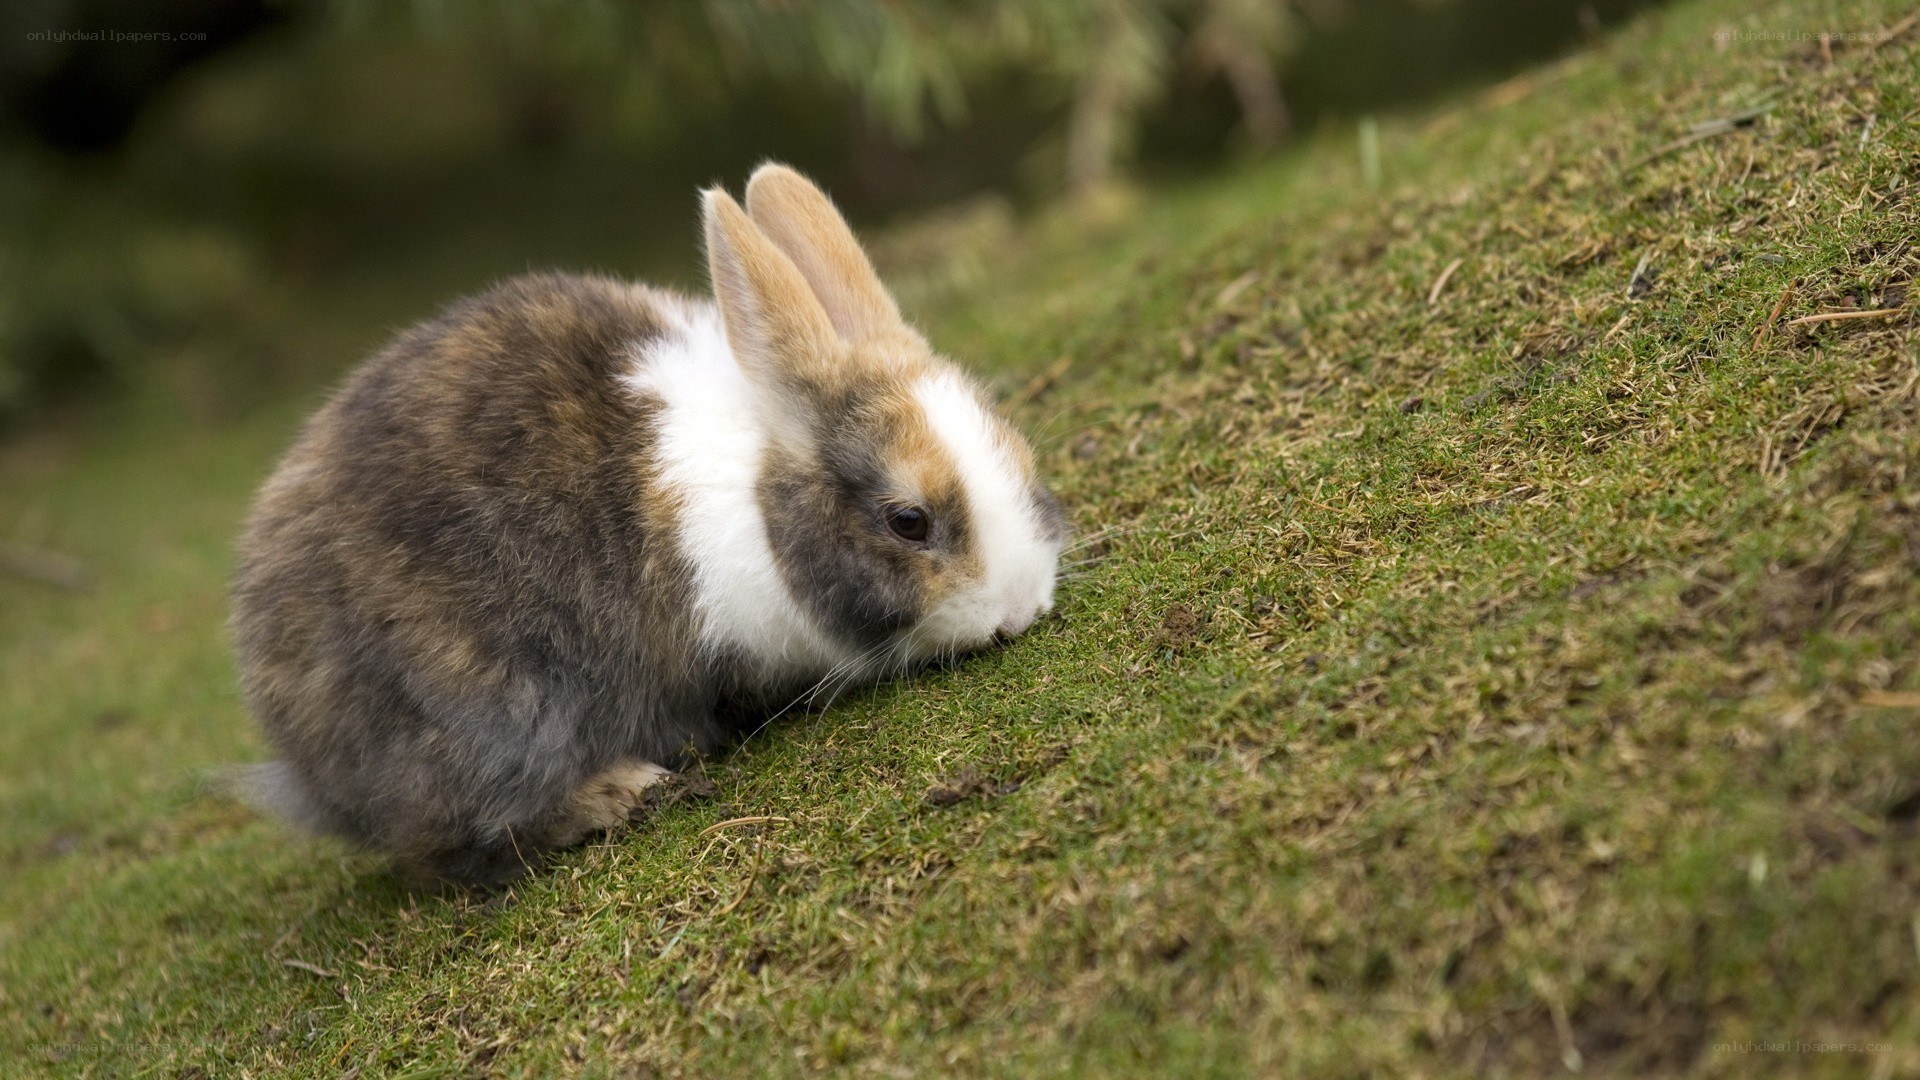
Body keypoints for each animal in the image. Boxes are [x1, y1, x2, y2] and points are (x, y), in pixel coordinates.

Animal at [230, 163, 1066, 886]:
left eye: (1019, 451)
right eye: (908, 521)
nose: (1019, 610)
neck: (762, 497)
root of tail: (302, 759)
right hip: (492, 716)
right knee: (465, 841)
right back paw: (622, 791)